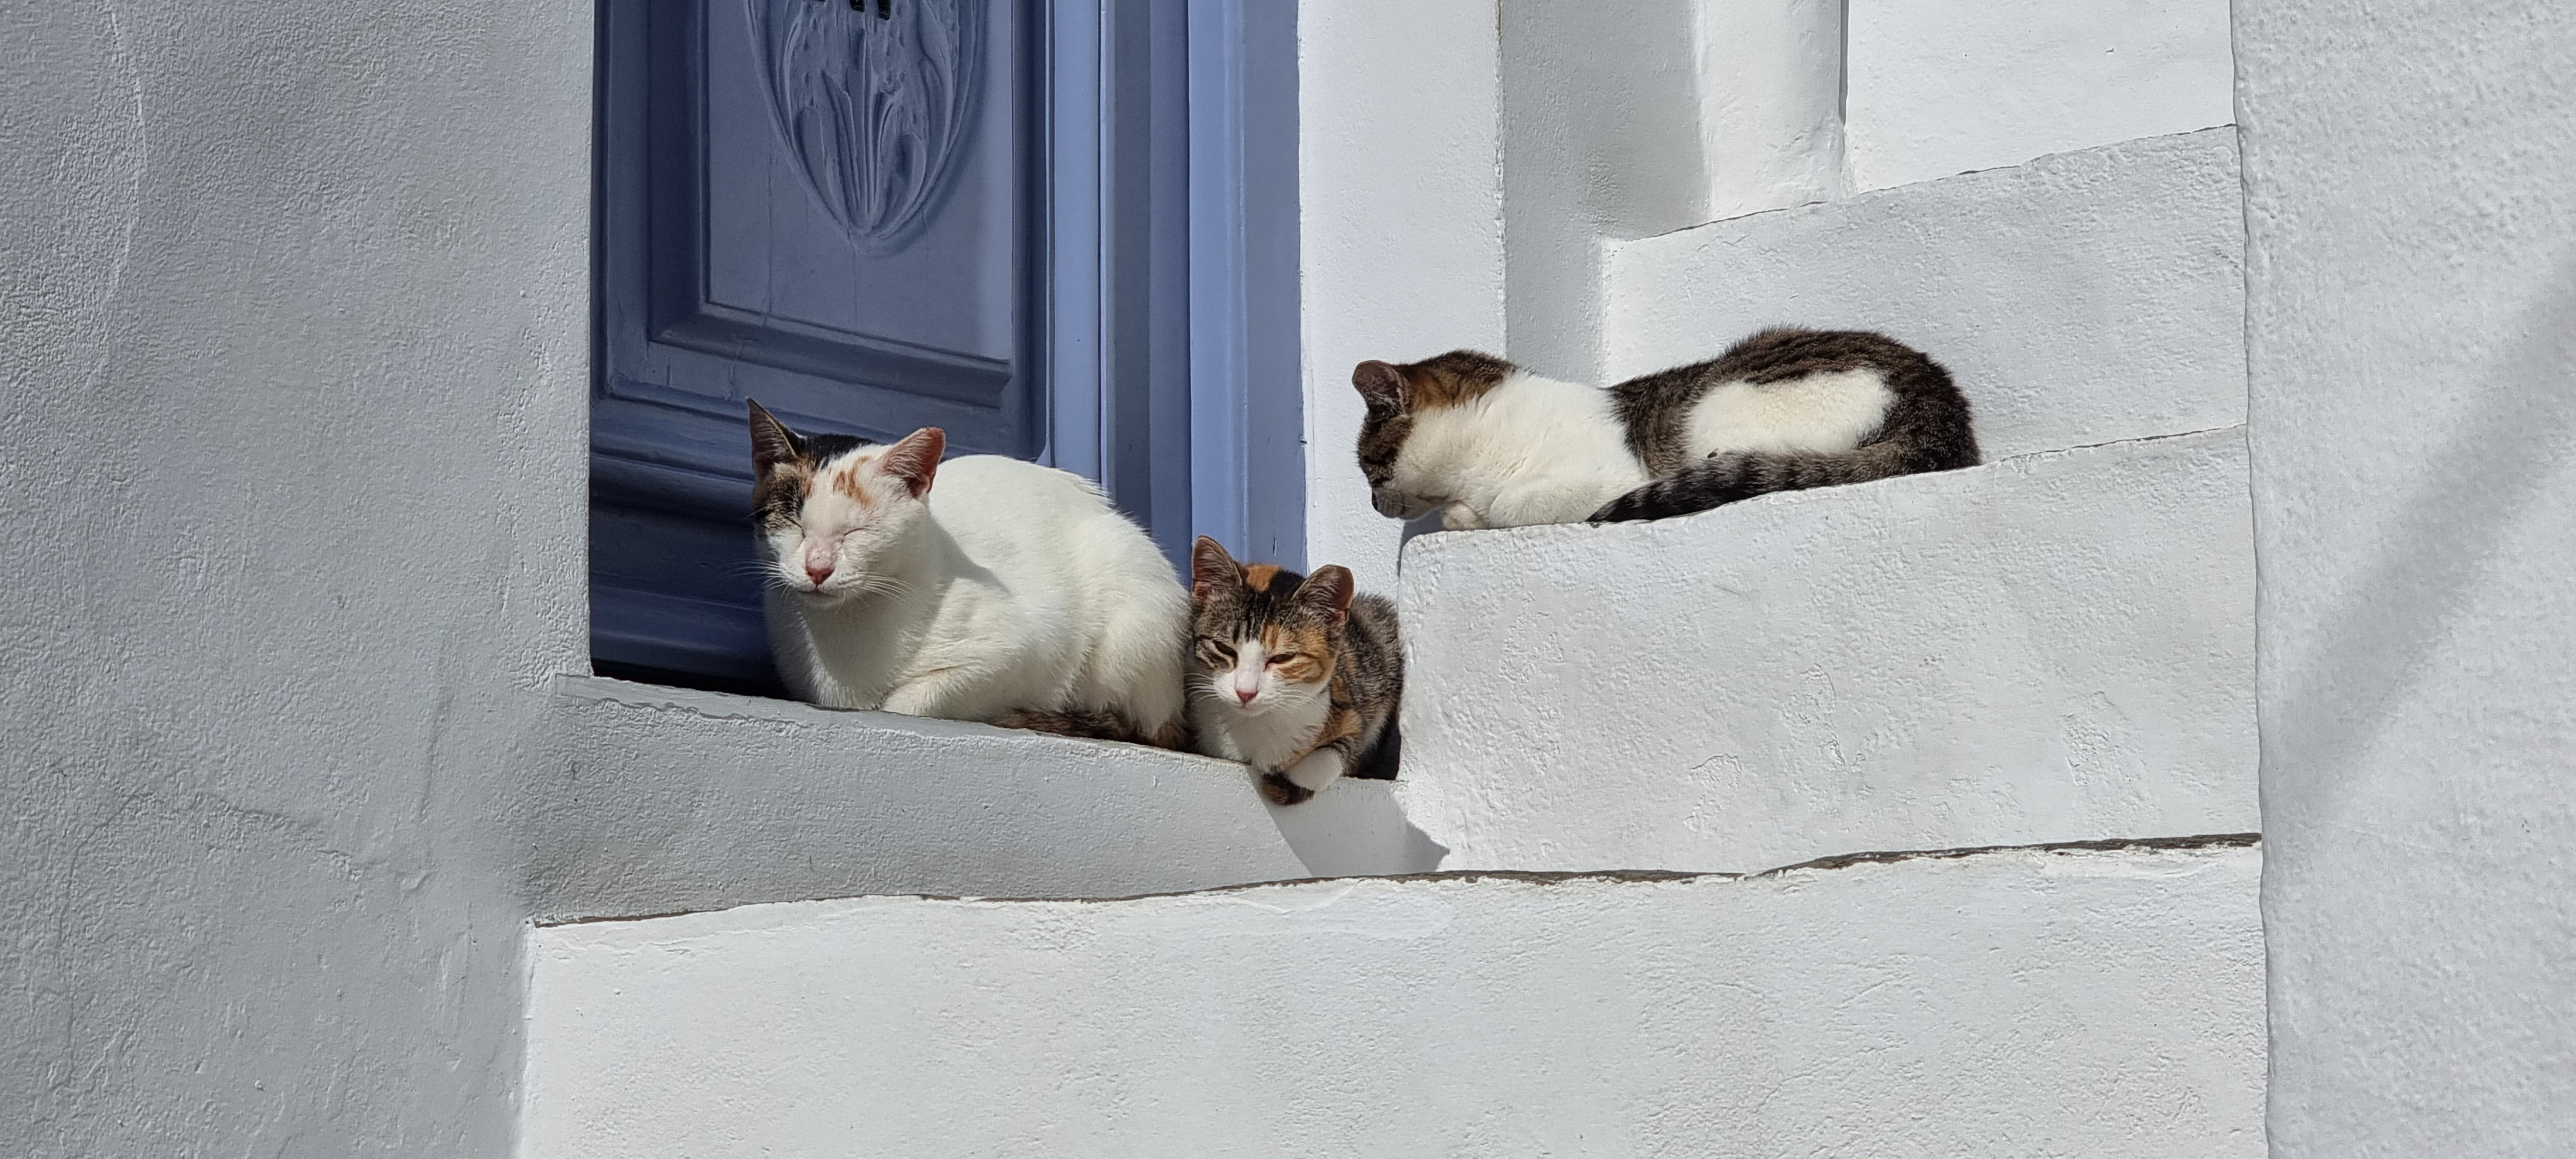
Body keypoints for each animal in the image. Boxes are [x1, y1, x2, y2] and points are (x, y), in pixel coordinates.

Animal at [1190, 536, 1412, 804]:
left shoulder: (1349, 710)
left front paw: (1288, 777)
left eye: (1283, 658)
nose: (1245, 692)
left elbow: (1326, 762)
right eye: (1224, 648)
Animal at [1350, 323, 1968, 528]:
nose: (1373, 506)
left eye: (1367, 469)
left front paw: (1467, 513)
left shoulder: (1608, 480)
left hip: (1718, 404)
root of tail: (1941, 403)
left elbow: (1509, 504)